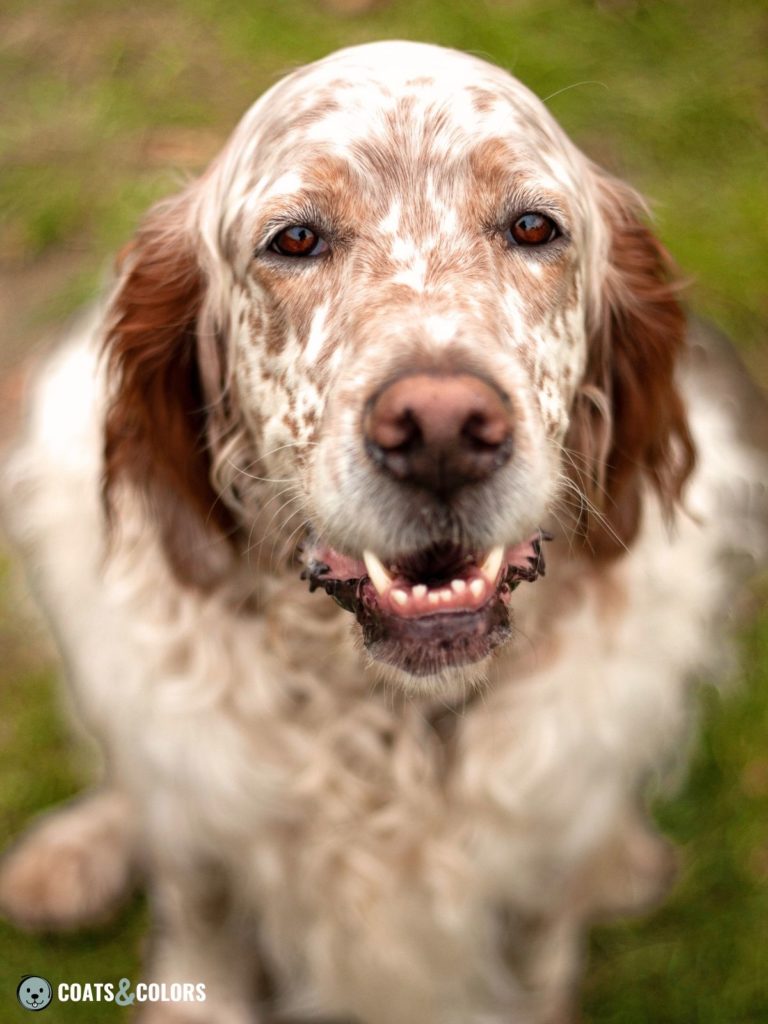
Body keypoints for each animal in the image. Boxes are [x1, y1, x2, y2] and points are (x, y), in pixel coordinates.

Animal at [1, 39, 768, 1024]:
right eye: (294, 240)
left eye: (533, 227)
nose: (441, 430)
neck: (394, 729)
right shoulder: (206, 866)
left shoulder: (531, 900)